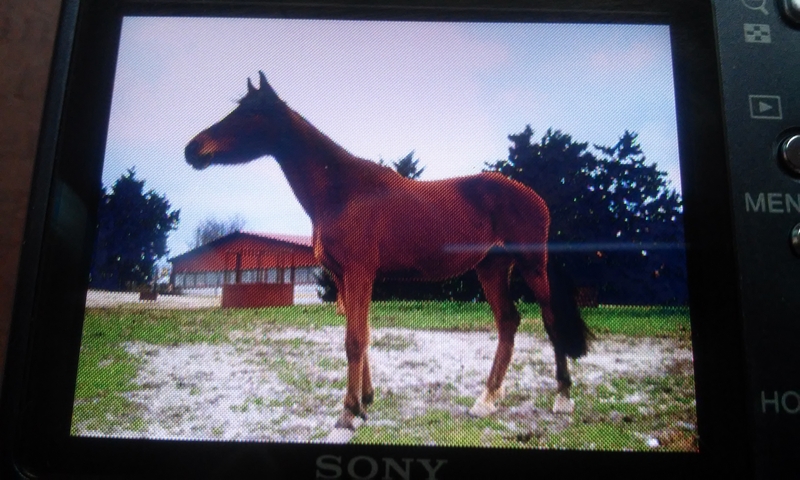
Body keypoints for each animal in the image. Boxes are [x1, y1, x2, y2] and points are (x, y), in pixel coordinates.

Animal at [185, 72, 592, 430]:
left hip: (531, 266)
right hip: (491, 269)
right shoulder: (342, 276)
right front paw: (365, 401)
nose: (193, 149)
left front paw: (349, 412)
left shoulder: (359, 272)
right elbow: (360, 334)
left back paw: (562, 398)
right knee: (508, 323)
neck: (342, 191)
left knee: (550, 320)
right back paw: (487, 400)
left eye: (250, 113)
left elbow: (354, 340)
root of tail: (533, 197)